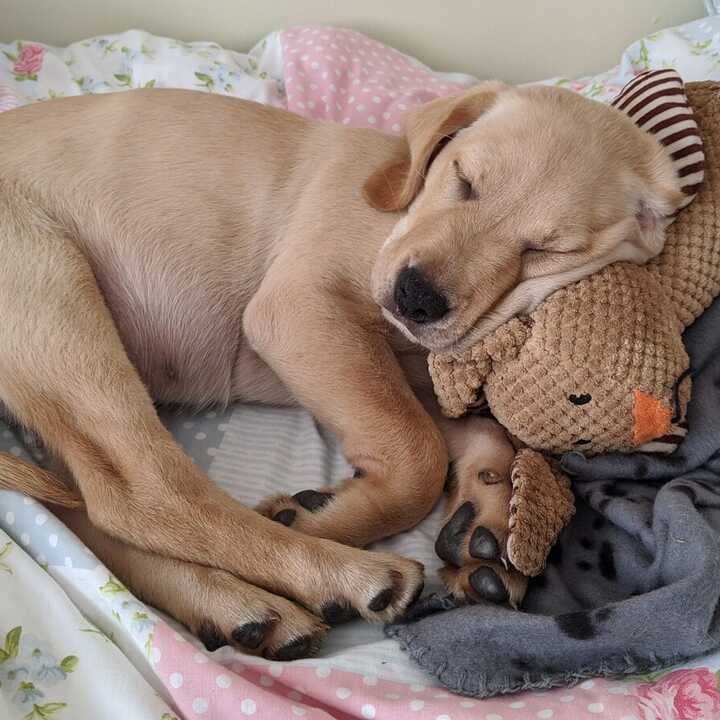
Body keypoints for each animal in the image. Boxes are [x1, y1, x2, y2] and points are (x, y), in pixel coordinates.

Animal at [0, 83, 680, 660]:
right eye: (463, 180)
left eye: (546, 249)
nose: (416, 298)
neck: (401, 202)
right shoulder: (302, 314)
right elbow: (415, 454)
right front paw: (330, 519)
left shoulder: (405, 364)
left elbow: (471, 431)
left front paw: (487, 519)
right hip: (58, 297)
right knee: (148, 497)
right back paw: (344, 575)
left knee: (94, 514)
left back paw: (244, 608)